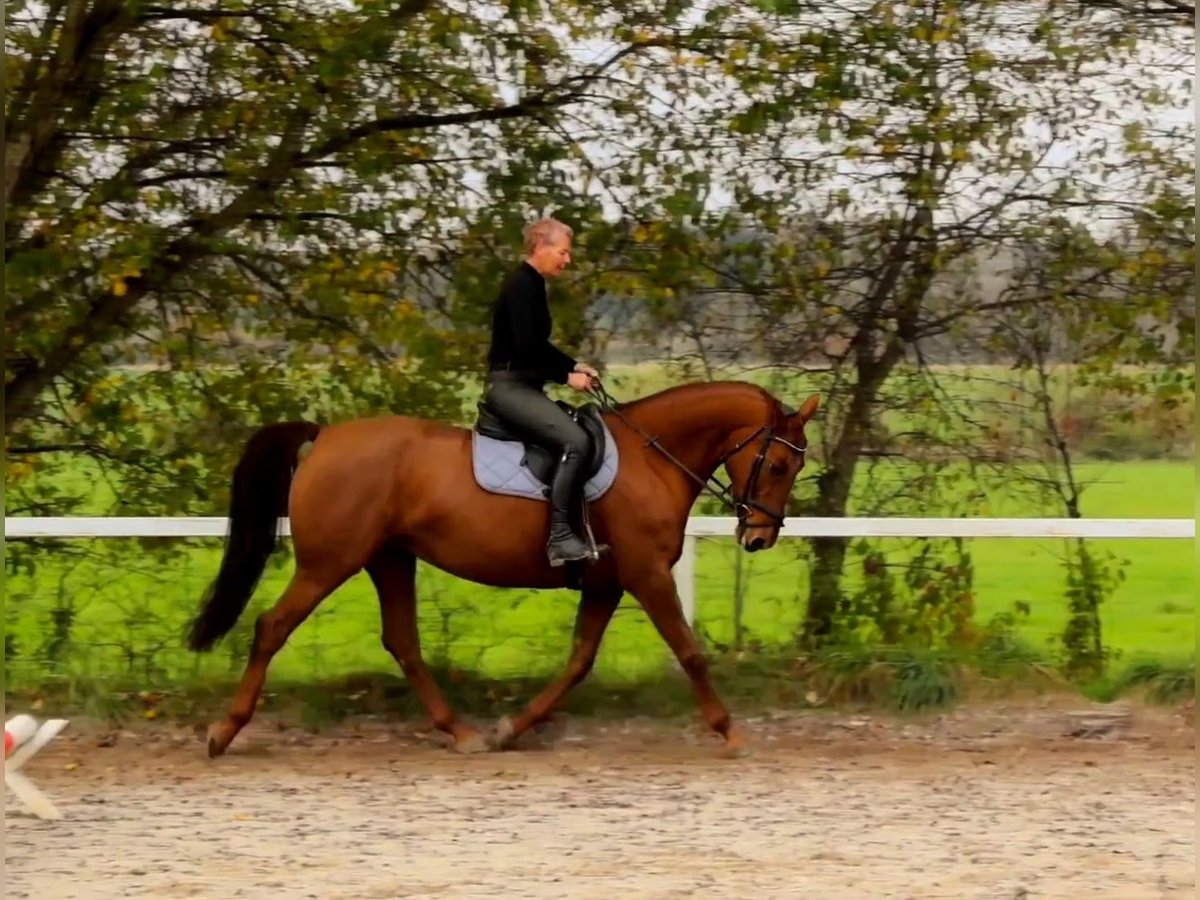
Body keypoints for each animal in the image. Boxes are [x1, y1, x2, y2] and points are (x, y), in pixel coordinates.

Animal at [187, 381, 820, 763]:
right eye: (778, 464)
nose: (759, 537)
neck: (650, 461)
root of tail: (324, 437)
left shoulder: (607, 583)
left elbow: (578, 663)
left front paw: (511, 729)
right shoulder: (646, 577)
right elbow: (689, 653)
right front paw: (730, 730)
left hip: (389, 558)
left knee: (403, 643)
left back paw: (462, 732)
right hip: (330, 562)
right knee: (272, 627)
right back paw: (223, 732)